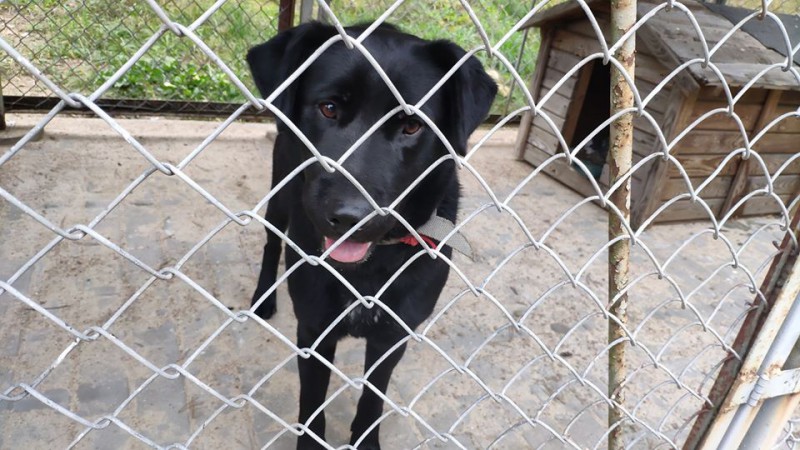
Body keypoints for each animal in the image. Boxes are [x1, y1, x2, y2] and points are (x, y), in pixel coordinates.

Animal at [247, 22, 496, 449]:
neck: (368, 269)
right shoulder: (314, 331)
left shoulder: (393, 336)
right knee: (271, 242)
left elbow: (373, 398)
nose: (351, 217)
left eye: (412, 126)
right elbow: (312, 404)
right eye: (329, 108)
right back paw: (264, 296)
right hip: (279, 194)